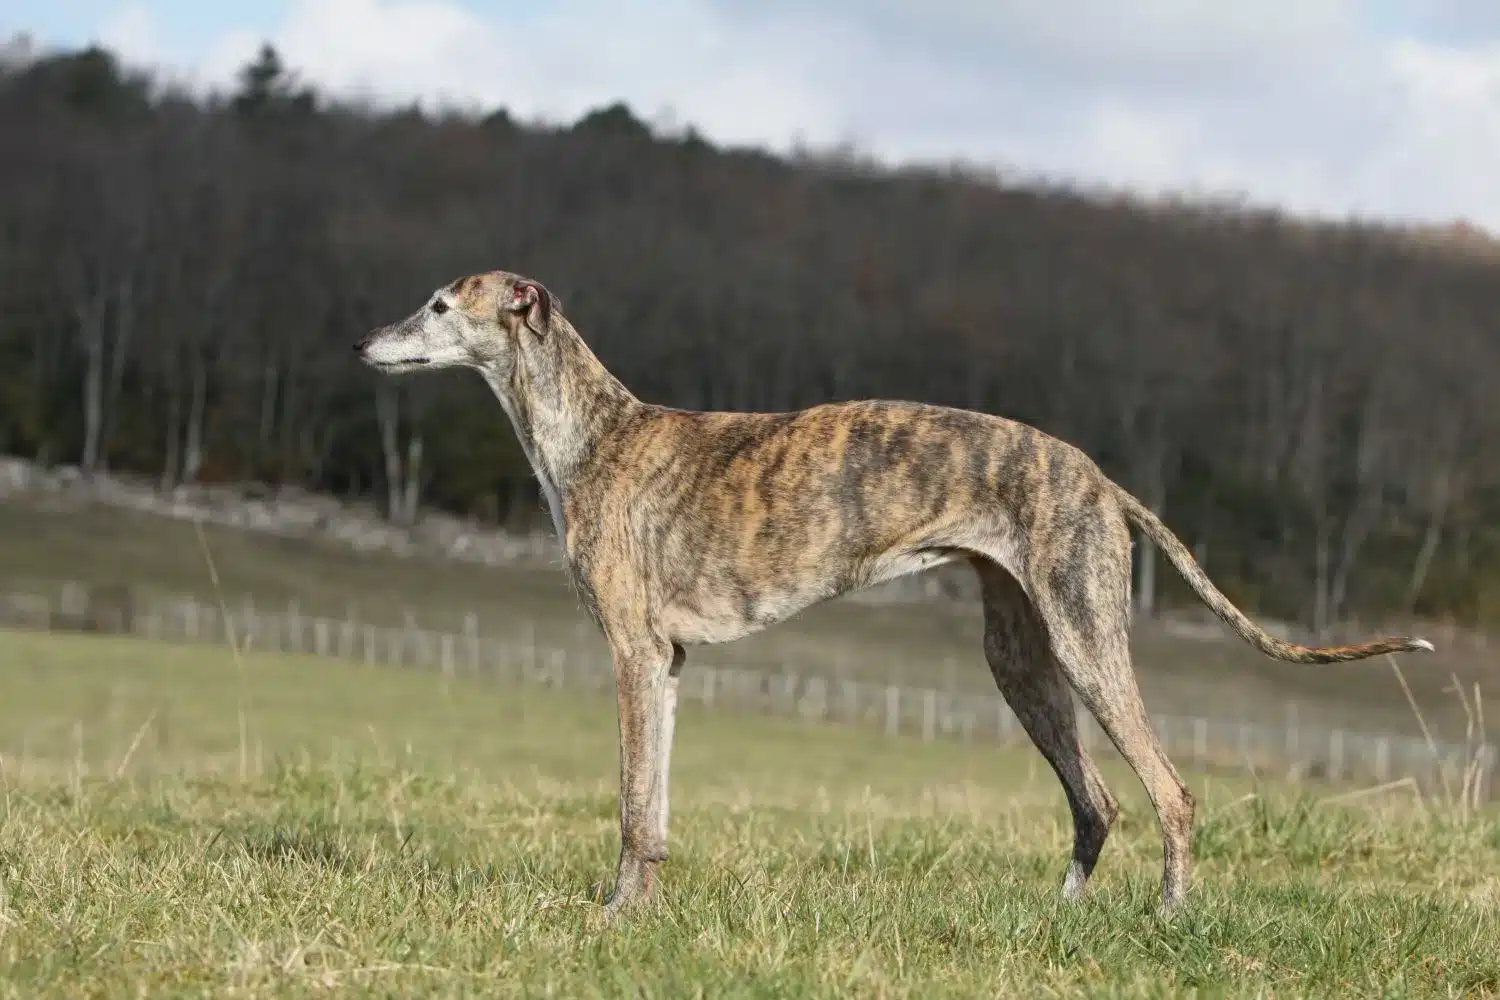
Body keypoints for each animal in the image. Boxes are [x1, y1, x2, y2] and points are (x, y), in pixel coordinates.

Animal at [357, 269, 1434, 917]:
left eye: (441, 307)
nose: (367, 346)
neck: (593, 432)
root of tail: (1101, 478)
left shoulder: (630, 652)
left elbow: (629, 801)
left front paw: (617, 917)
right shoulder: (664, 663)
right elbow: (649, 809)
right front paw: (640, 910)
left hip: (1085, 638)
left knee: (1169, 790)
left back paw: (1167, 916)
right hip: (1020, 657)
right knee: (1096, 803)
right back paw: (1065, 919)